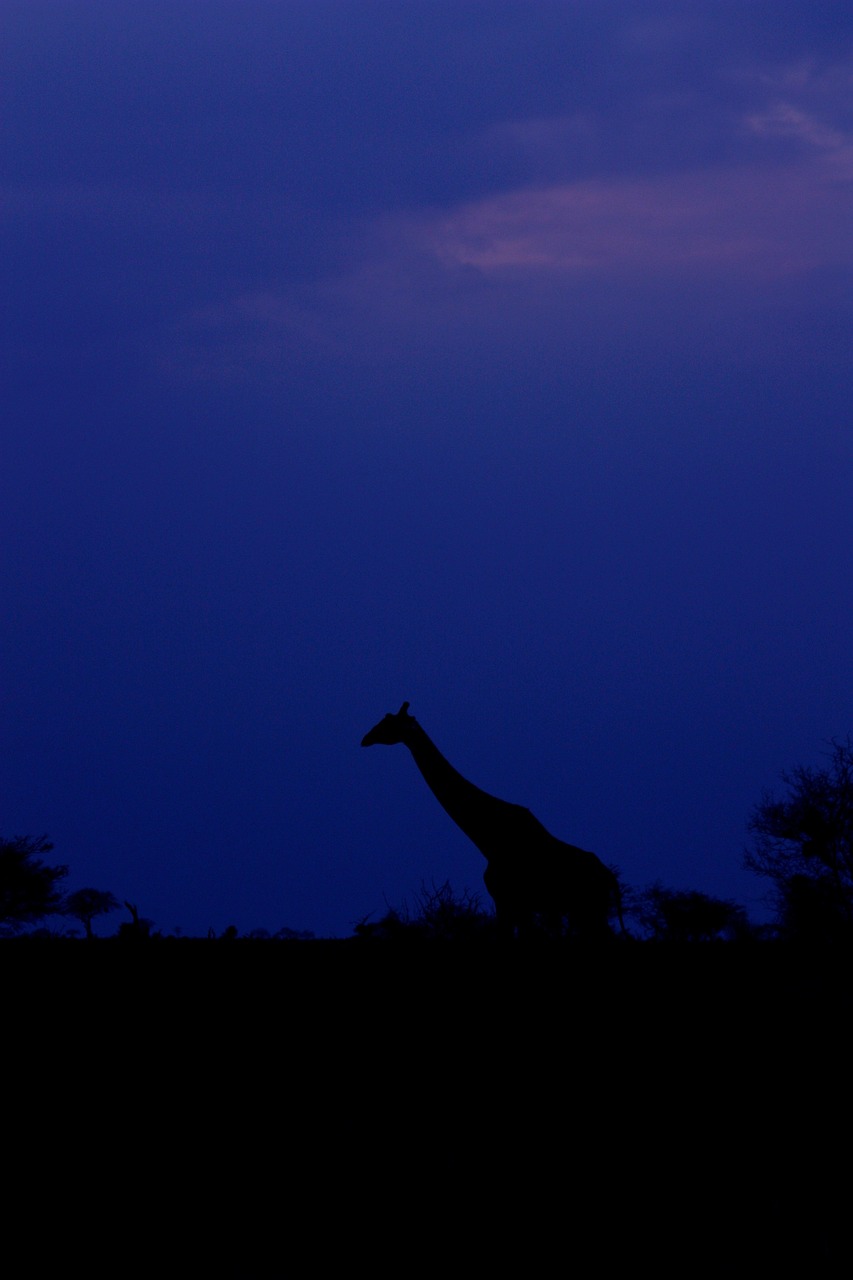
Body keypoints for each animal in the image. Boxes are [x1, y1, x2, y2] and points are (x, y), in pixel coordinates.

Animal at [358, 701, 625, 942]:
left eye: (389, 722)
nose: (365, 738)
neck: (488, 837)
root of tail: (609, 878)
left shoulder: (509, 901)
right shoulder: (514, 905)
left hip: (589, 909)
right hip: (585, 911)